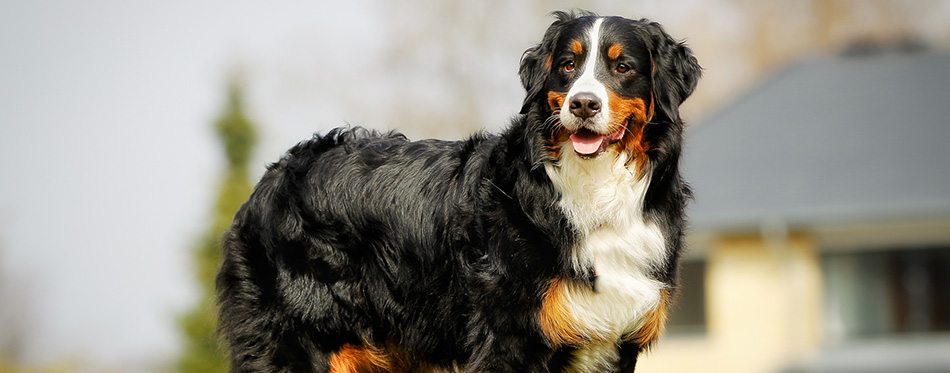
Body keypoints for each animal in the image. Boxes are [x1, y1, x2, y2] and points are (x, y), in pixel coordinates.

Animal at [219, 10, 704, 370]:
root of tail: (276, 174)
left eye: (622, 67)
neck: (593, 189)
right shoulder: (506, 339)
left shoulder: (614, 340)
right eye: (568, 65)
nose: (583, 103)